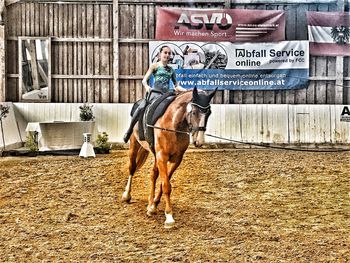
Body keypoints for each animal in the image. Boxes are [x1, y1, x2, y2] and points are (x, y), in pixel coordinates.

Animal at [122, 87, 216, 230]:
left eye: (209, 113)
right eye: (194, 112)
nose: (199, 141)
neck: (173, 125)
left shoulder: (176, 159)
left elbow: (163, 183)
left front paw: (154, 206)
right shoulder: (162, 156)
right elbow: (166, 185)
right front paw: (169, 217)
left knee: (153, 175)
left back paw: (151, 204)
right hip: (135, 144)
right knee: (132, 168)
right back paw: (127, 195)